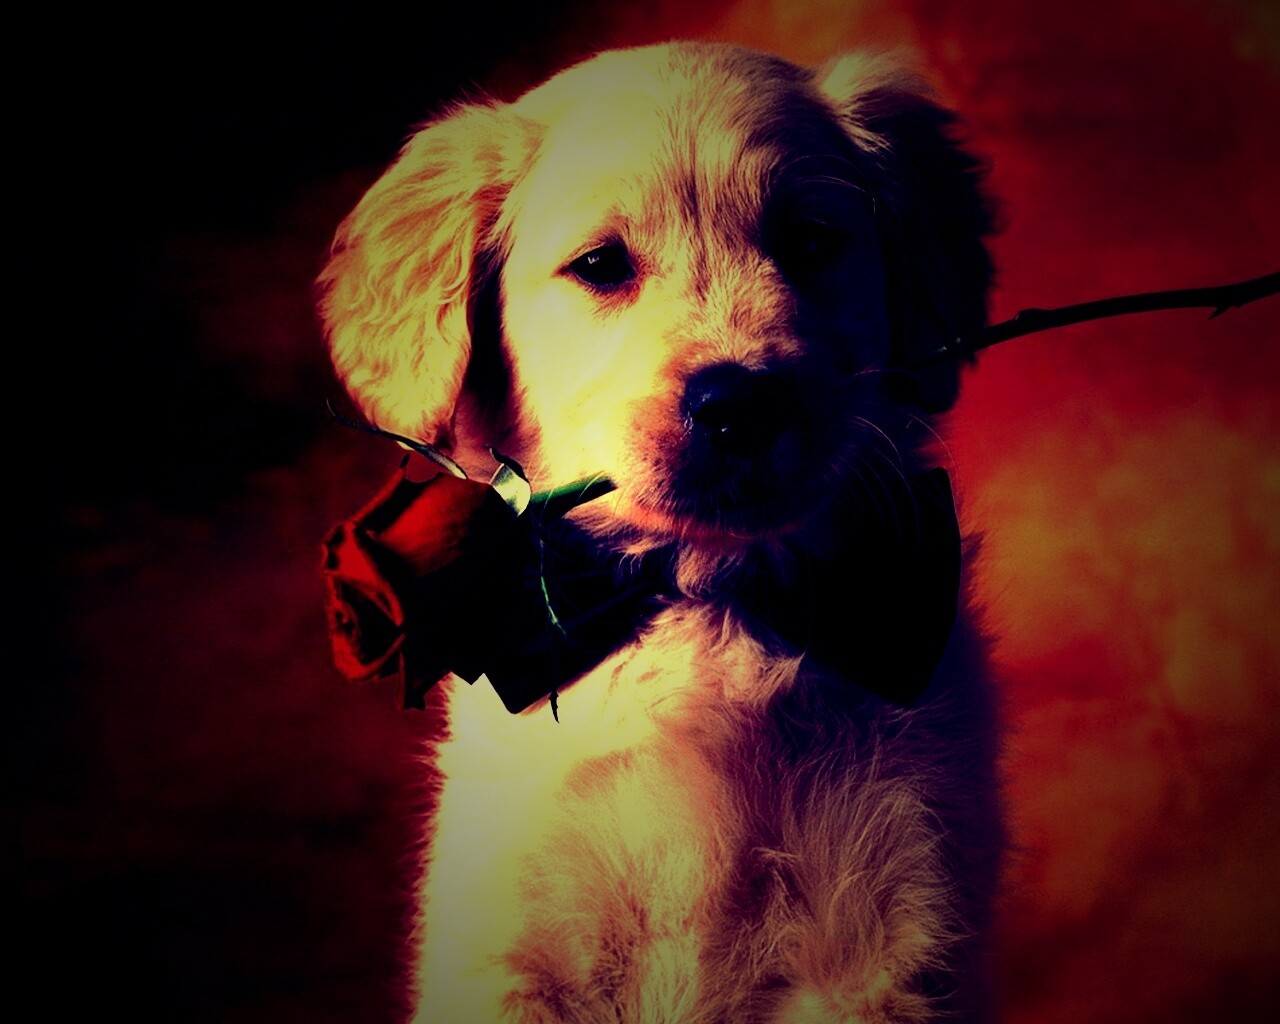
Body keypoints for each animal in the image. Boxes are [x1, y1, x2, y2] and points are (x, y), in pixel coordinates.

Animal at [318, 41, 1004, 1023]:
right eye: (602, 265)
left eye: (809, 242)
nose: (738, 403)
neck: (703, 601)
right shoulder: (513, 942)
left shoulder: (892, 934)